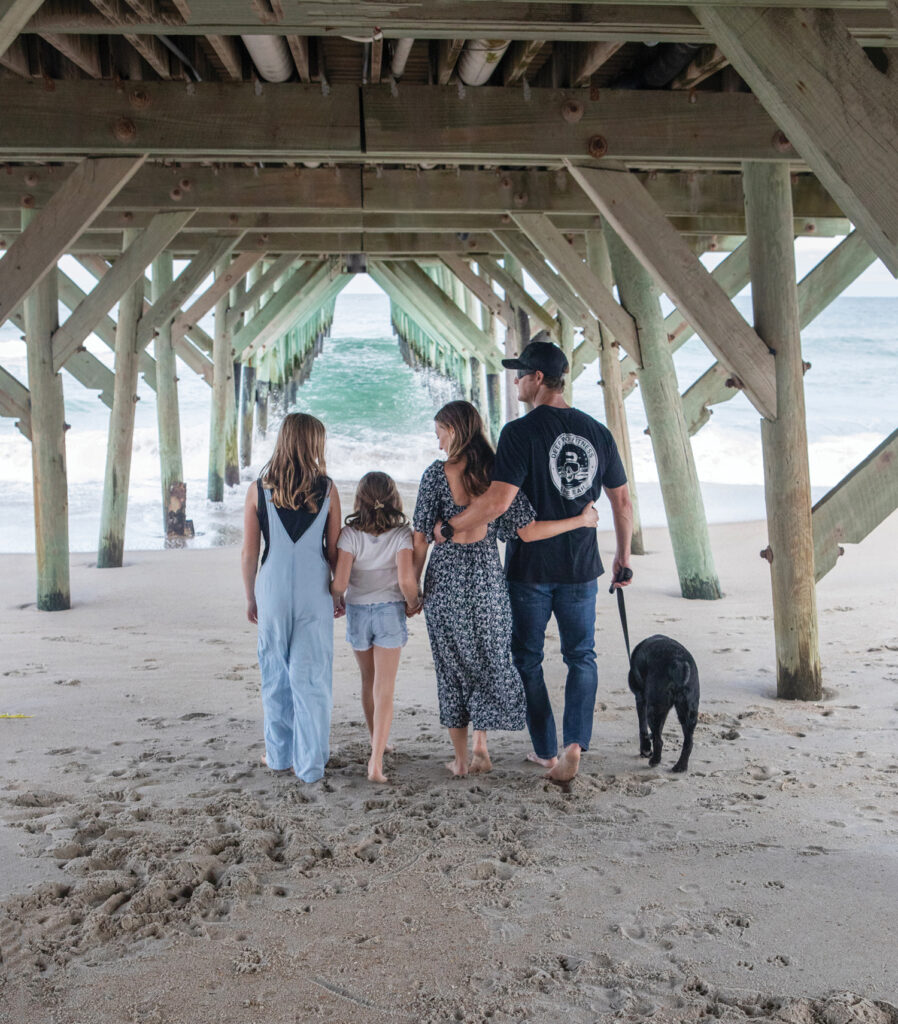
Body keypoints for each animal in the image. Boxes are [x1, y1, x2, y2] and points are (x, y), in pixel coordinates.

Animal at [622, 634, 700, 770]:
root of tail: (679, 663)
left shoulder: (641, 698)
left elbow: (642, 727)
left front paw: (645, 749)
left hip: (653, 709)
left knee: (659, 740)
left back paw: (655, 760)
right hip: (688, 711)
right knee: (688, 742)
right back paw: (680, 766)